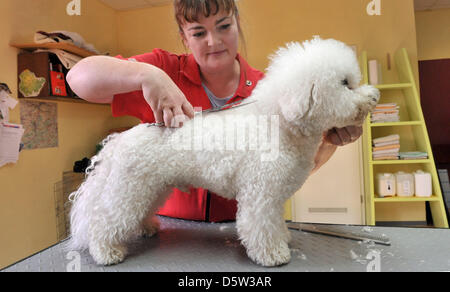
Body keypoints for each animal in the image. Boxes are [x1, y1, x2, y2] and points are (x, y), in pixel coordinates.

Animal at [68, 37, 382, 268]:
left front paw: (283, 239)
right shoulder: (261, 193)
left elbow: (275, 223)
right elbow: (260, 226)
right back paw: (105, 252)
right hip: (129, 189)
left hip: (152, 187)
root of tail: (120, 140)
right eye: (345, 83)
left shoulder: (273, 196)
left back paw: (146, 227)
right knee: (105, 220)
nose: (375, 95)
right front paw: (273, 255)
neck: (279, 123)